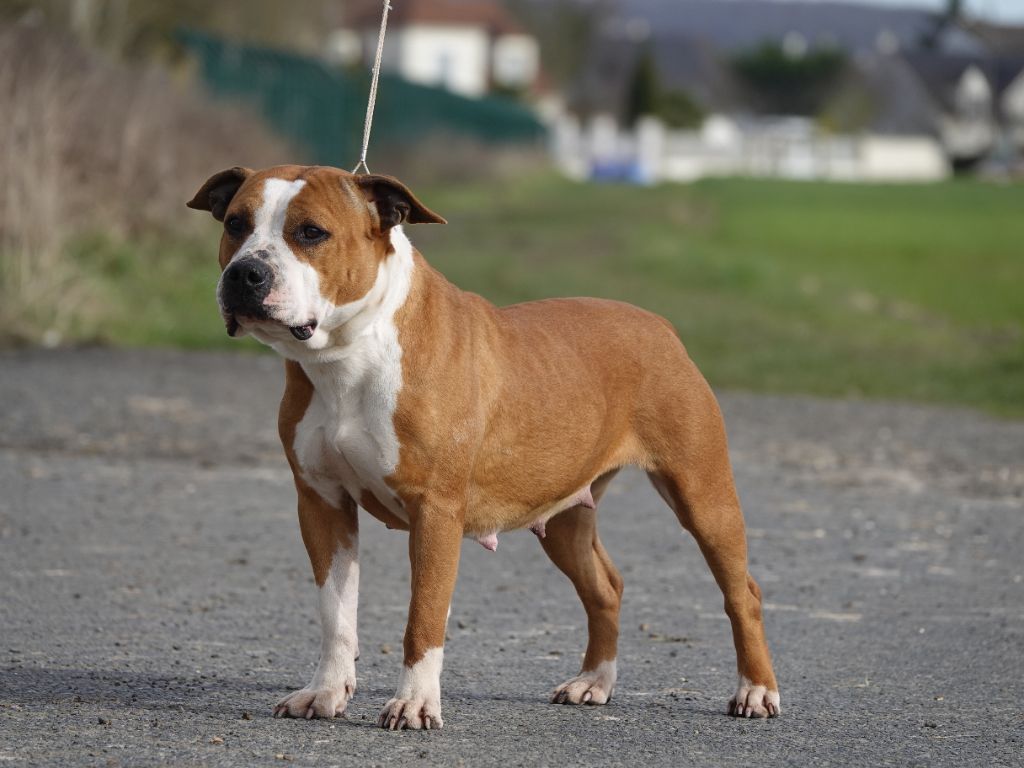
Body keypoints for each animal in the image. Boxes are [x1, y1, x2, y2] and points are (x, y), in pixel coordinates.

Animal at [188, 163, 778, 733]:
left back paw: (755, 691)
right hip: (564, 517)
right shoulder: (322, 504)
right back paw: (594, 682)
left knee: (741, 592)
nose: (244, 273)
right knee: (605, 587)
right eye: (235, 224)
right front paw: (326, 693)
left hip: (703, 495)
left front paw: (414, 705)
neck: (348, 356)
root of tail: (660, 325)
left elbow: (423, 618)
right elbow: (336, 614)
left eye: (311, 232)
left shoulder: (435, 512)